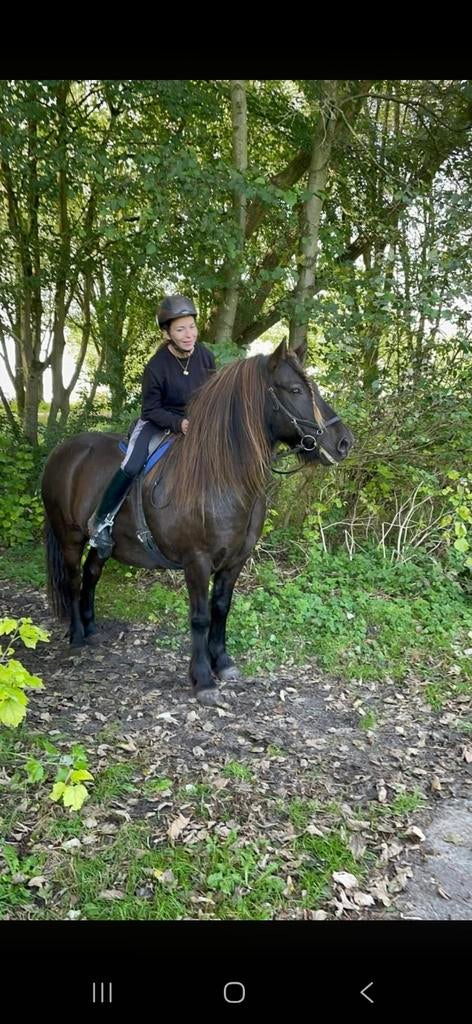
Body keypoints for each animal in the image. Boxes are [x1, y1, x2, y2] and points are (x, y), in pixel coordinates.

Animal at [41, 338, 353, 704]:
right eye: (294, 390)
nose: (344, 442)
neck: (220, 476)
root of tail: (63, 451)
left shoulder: (235, 561)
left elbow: (221, 608)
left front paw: (223, 663)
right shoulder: (197, 561)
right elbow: (201, 617)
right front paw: (203, 678)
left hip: (104, 545)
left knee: (91, 575)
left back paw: (91, 631)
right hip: (70, 538)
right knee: (74, 580)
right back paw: (77, 636)